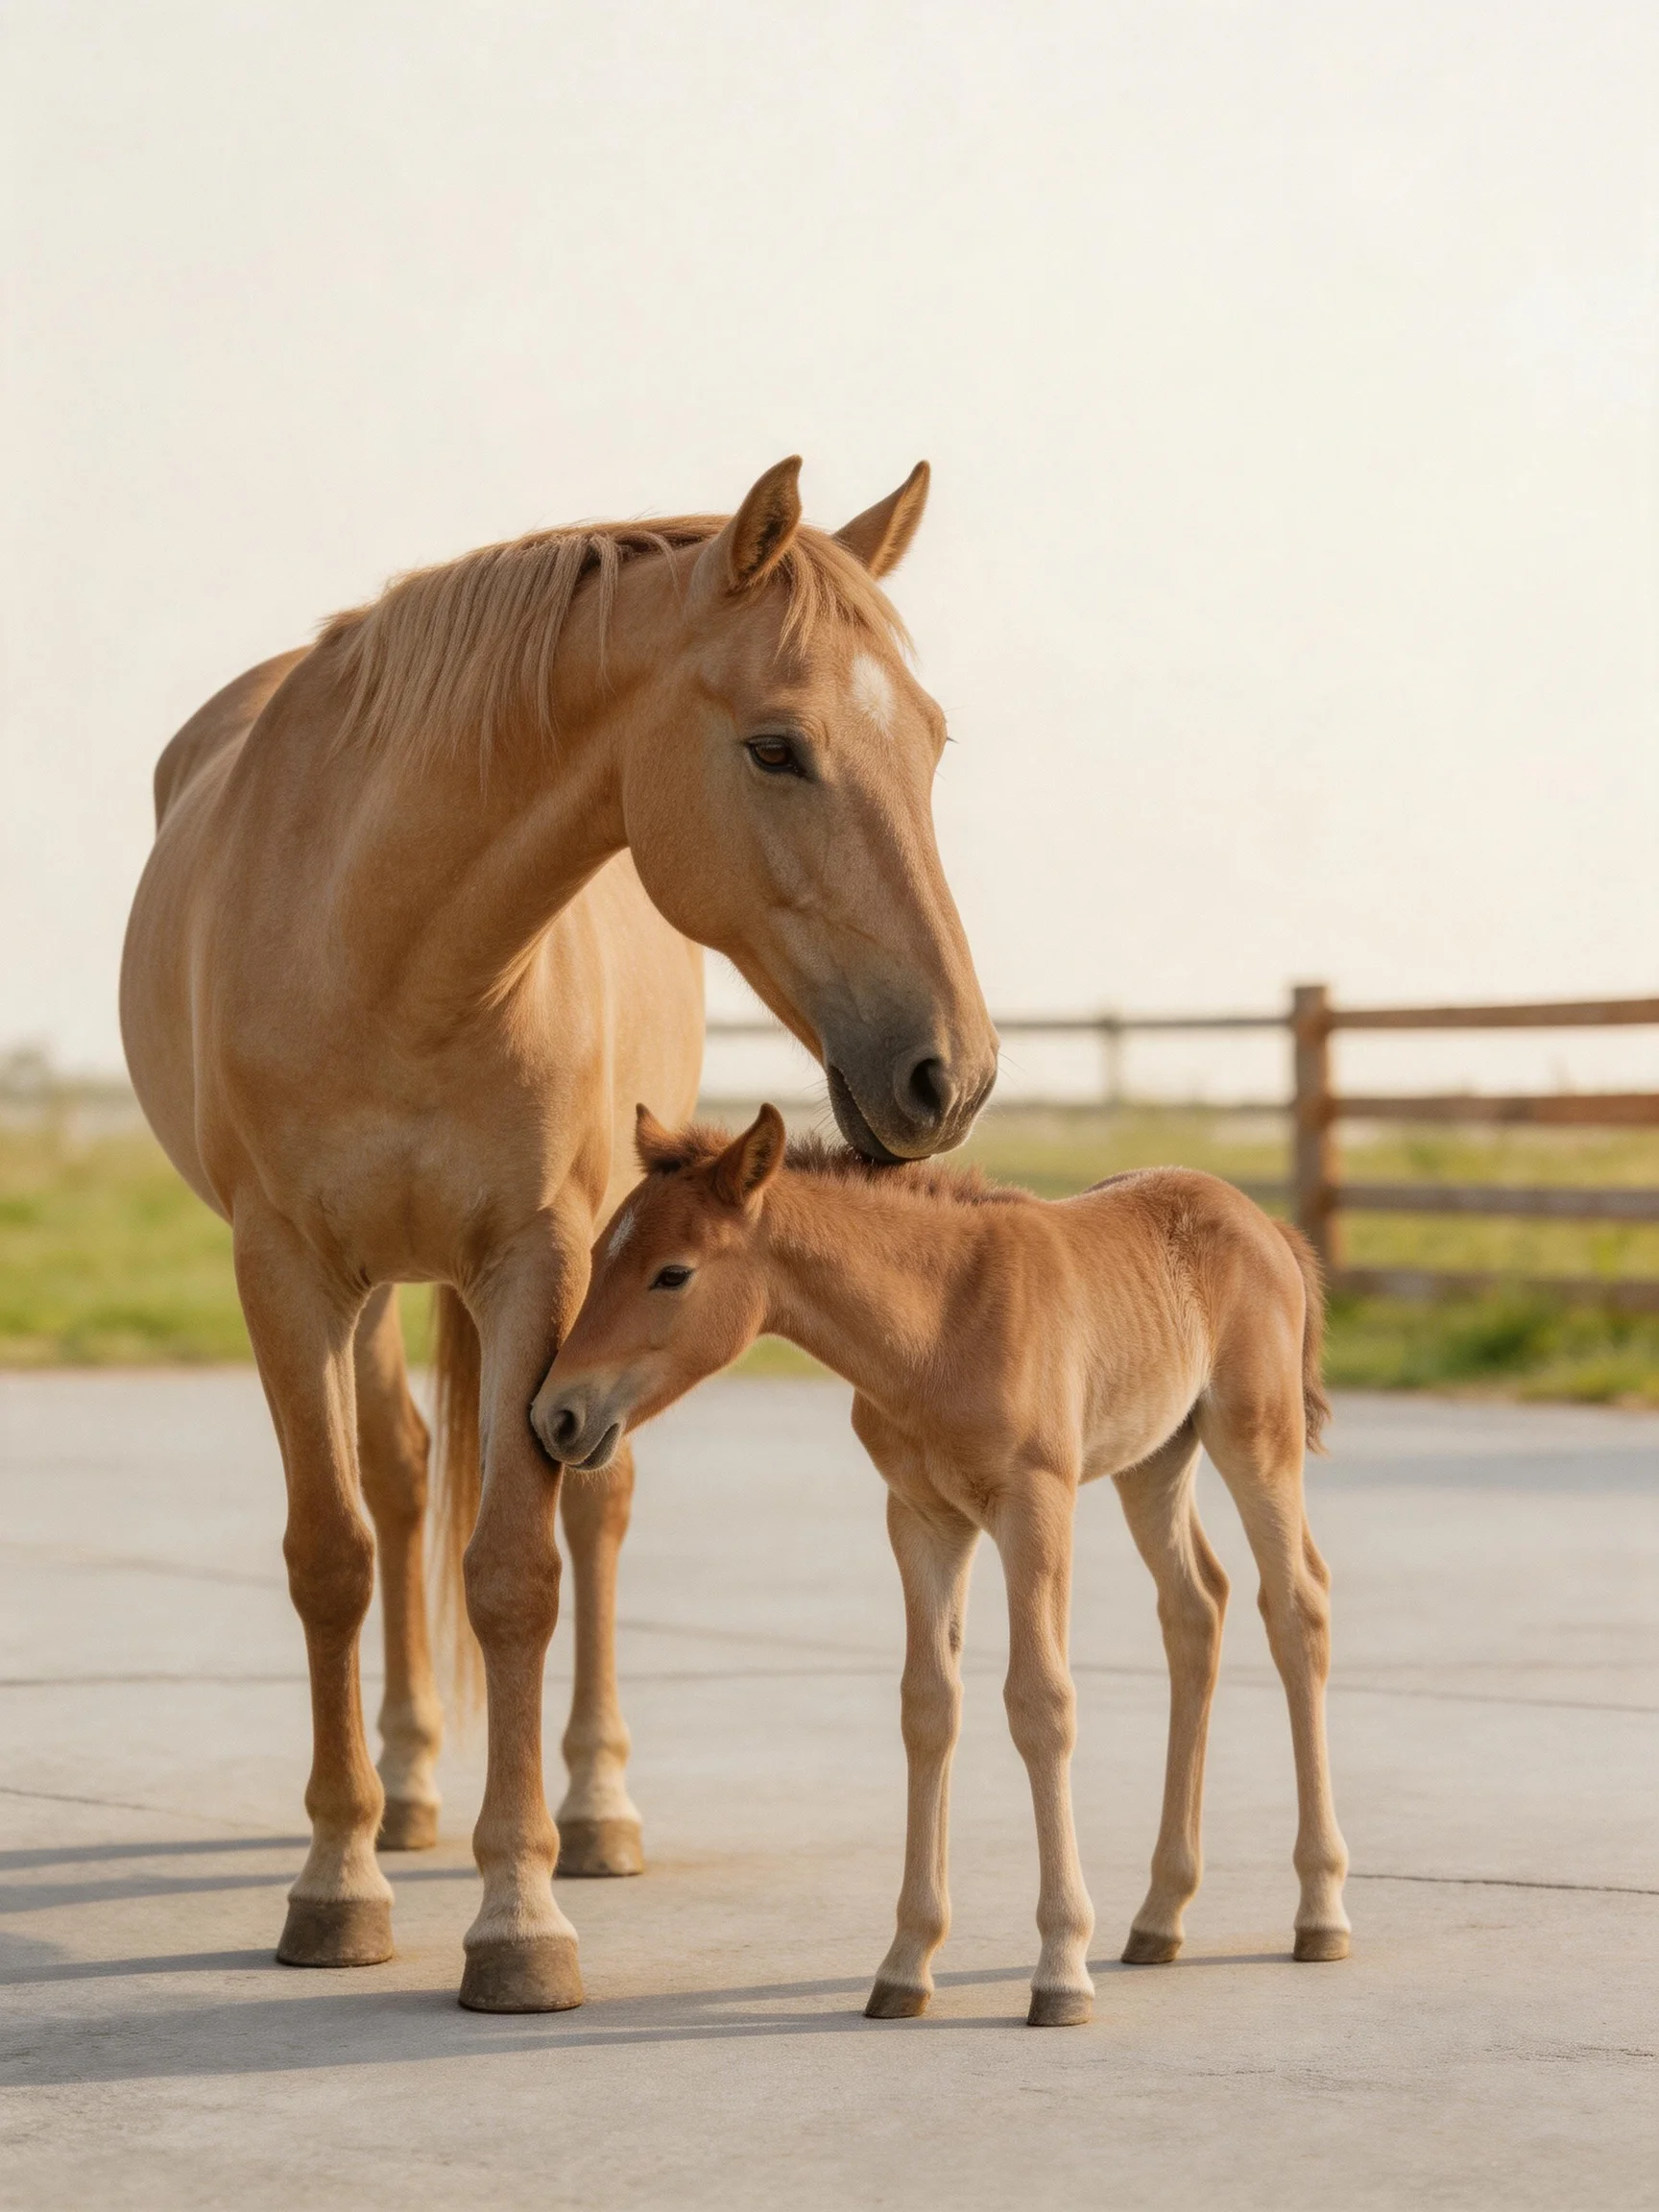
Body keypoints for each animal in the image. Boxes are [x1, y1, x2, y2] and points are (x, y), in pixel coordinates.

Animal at [118, 459, 999, 2013]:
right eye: (776, 749)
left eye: (935, 744)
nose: (948, 1074)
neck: (392, 942)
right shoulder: (285, 1269)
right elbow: (335, 1554)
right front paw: (336, 1884)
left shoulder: (538, 1260)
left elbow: (518, 1572)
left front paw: (519, 1916)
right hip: (368, 1292)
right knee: (403, 1479)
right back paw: (406, 1793)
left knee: (595, 1505)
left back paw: (594, 1814)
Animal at [533, 1106, 1351, 2027]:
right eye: (601, 1256)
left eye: (672, 1273)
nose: (557, 1416)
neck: (939, 1326)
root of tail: (1267, 1225)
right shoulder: (922, 1519)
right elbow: (927, 1707)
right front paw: (905, 1963)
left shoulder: (1035, 1506)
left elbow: (1040, 1704)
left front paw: (1060, 1969)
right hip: (1155, 1458)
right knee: (1196, 1608)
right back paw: (1160, 1915)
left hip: (1256, 1437)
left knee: (1296, 1607)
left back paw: (1321, 1911)